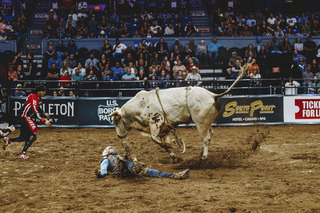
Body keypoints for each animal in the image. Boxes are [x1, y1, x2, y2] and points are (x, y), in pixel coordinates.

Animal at [110, 63, 250, 161]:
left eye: (116, 122)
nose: (118, 136)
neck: (140, 105)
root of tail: (213, 95)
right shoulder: (164, 128)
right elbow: (163, 143)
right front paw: (173, 154)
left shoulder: (156, 121)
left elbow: (154, 138)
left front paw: (171, 145)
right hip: (206, 122)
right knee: (210, 134)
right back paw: (202, 153)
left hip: (200, 123)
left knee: (206, 138)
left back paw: (203, 157)